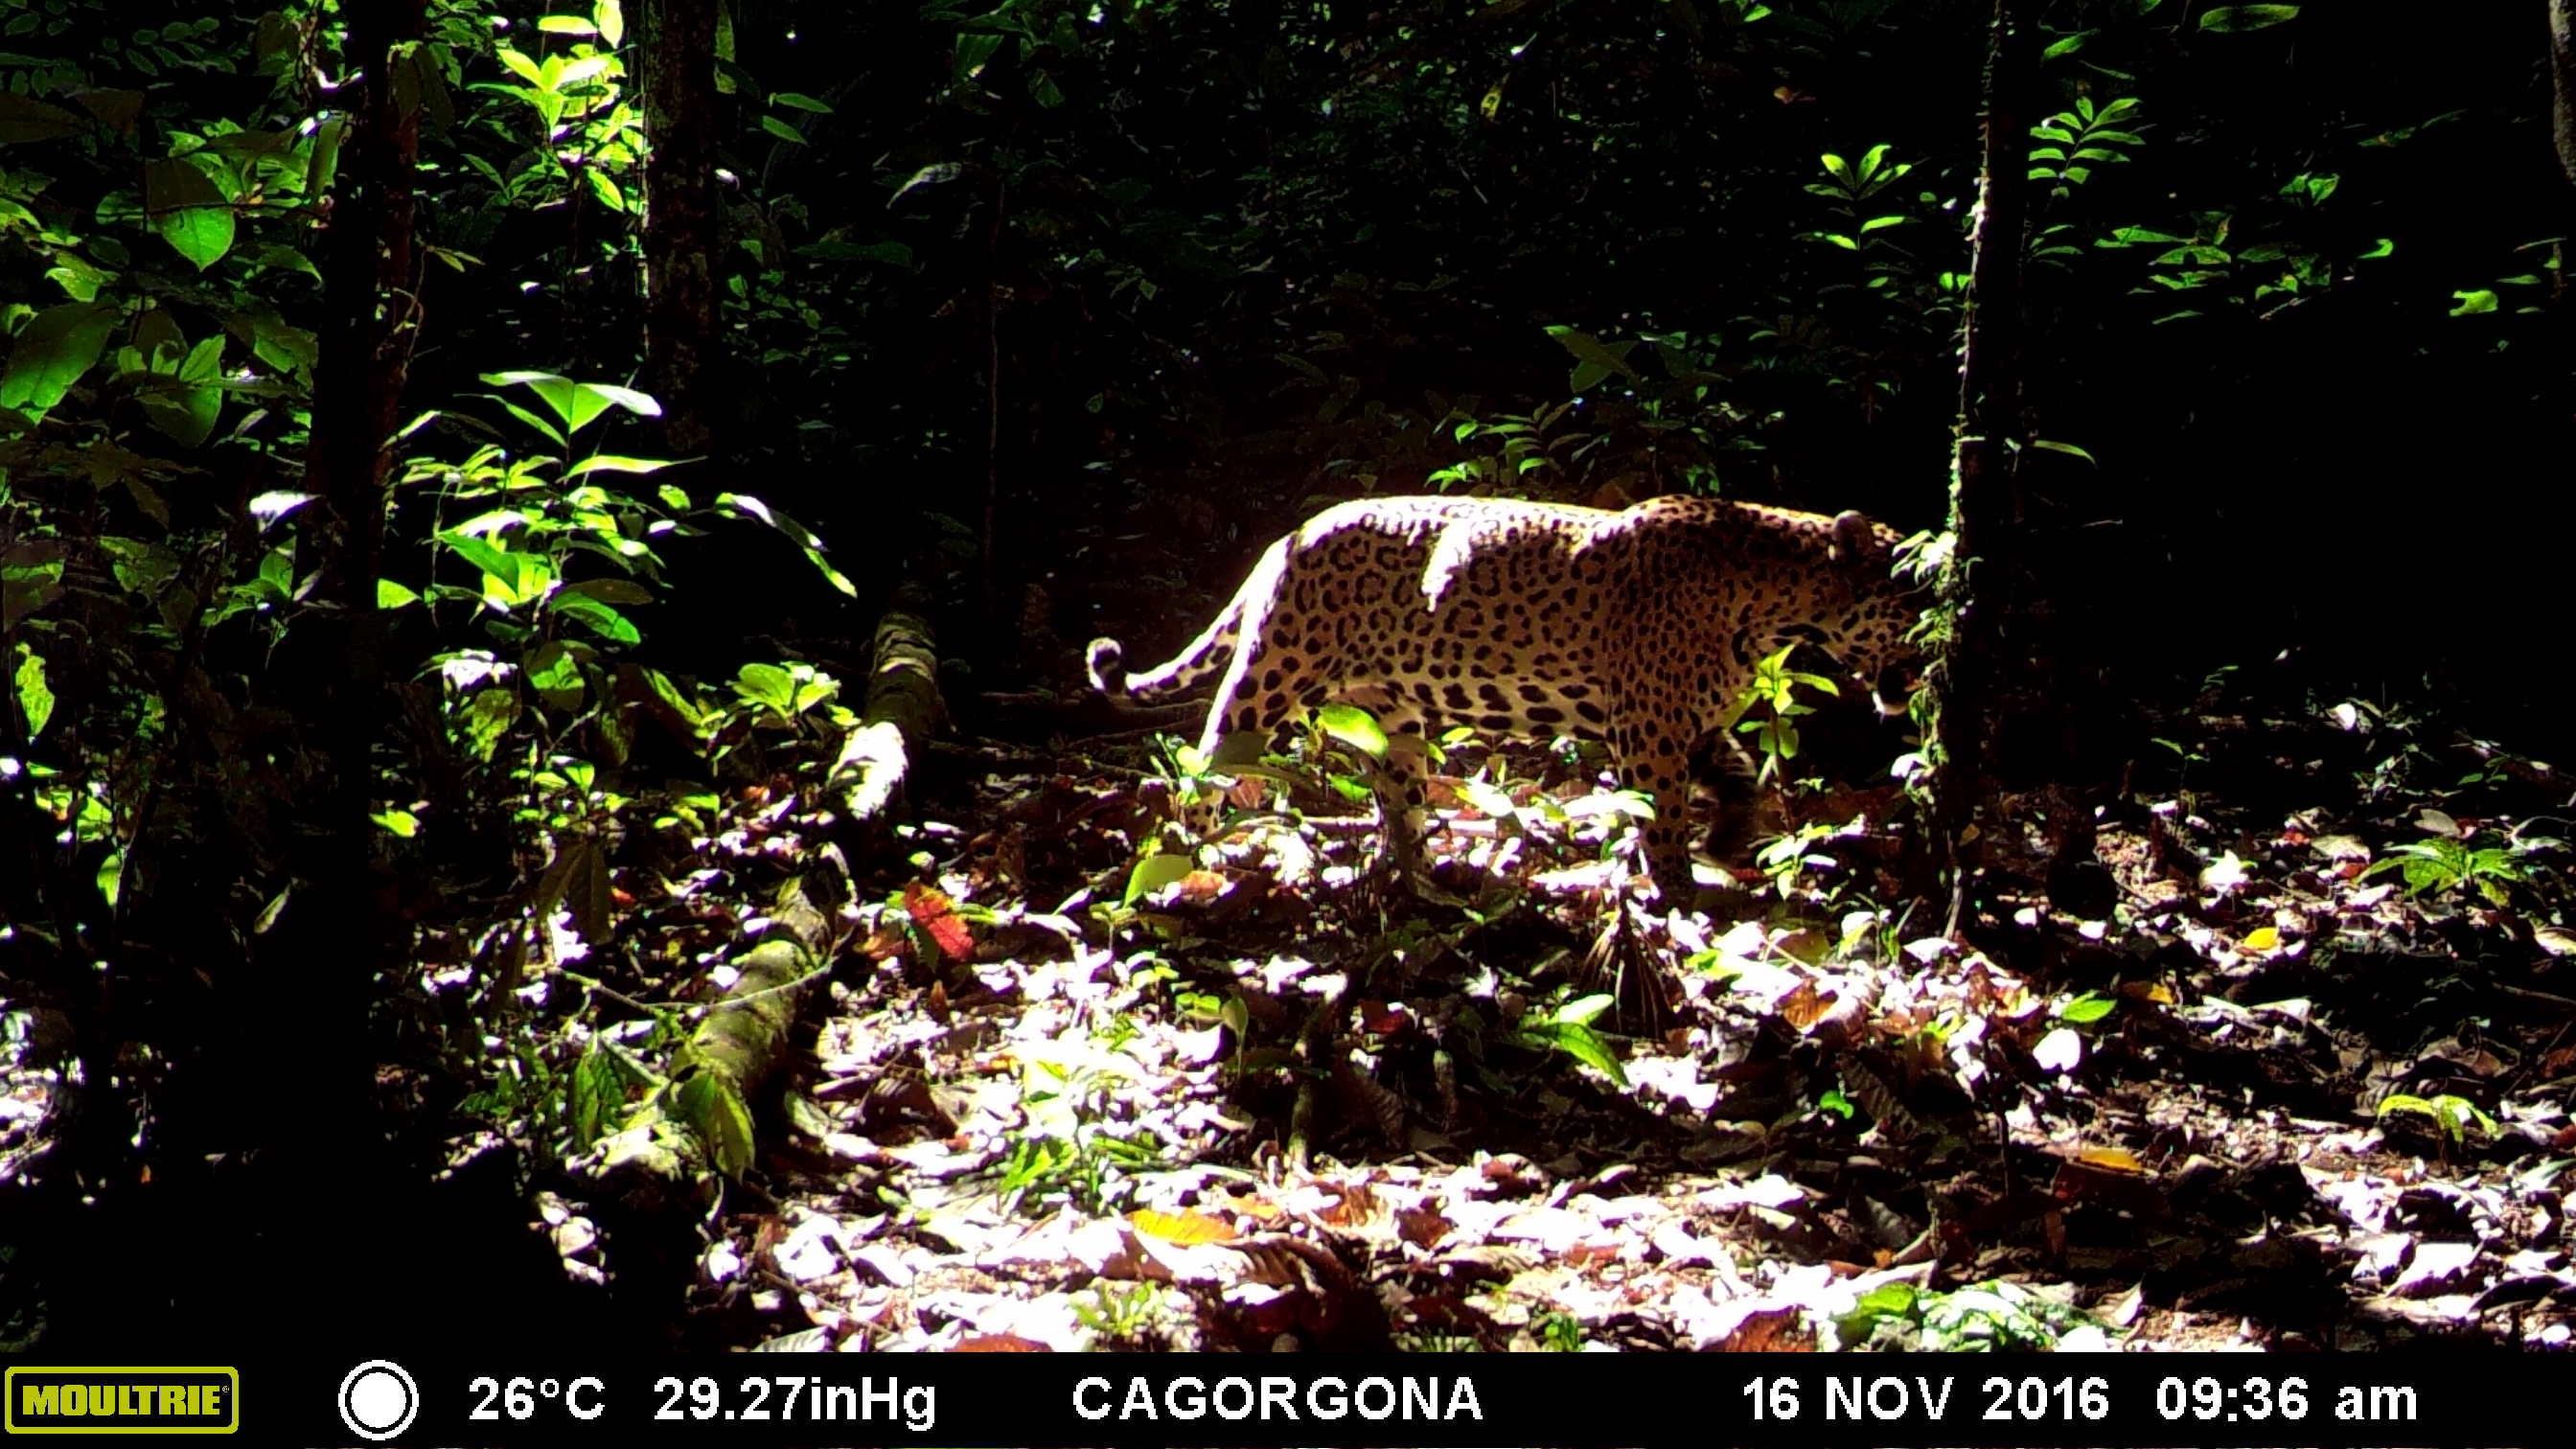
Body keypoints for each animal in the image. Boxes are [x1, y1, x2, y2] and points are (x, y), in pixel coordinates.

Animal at [1086, 494, 1924, 897]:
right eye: (1915, 598)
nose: (1933, 652)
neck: (1777, 599)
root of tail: (1284, 541)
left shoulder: (1684, 720)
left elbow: (1739, 777)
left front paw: (1727, 839)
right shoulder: (1648, 725)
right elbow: (1659, 817)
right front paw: (1681, 892)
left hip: (1396, 721)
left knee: (1400, 803)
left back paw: (1424, 880)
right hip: (1269, 679)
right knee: (1200, 765)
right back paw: (1191, 859)